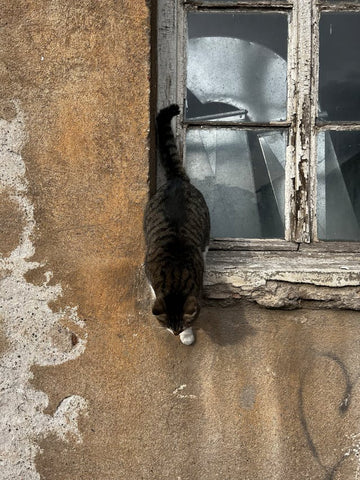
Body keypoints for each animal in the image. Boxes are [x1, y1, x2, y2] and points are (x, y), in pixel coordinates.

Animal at [144, 104, 211, 344]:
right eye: (167, 325)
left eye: (181, 325)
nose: (174, 333)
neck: (175, 276)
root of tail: (176, 179)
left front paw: (187, 336)